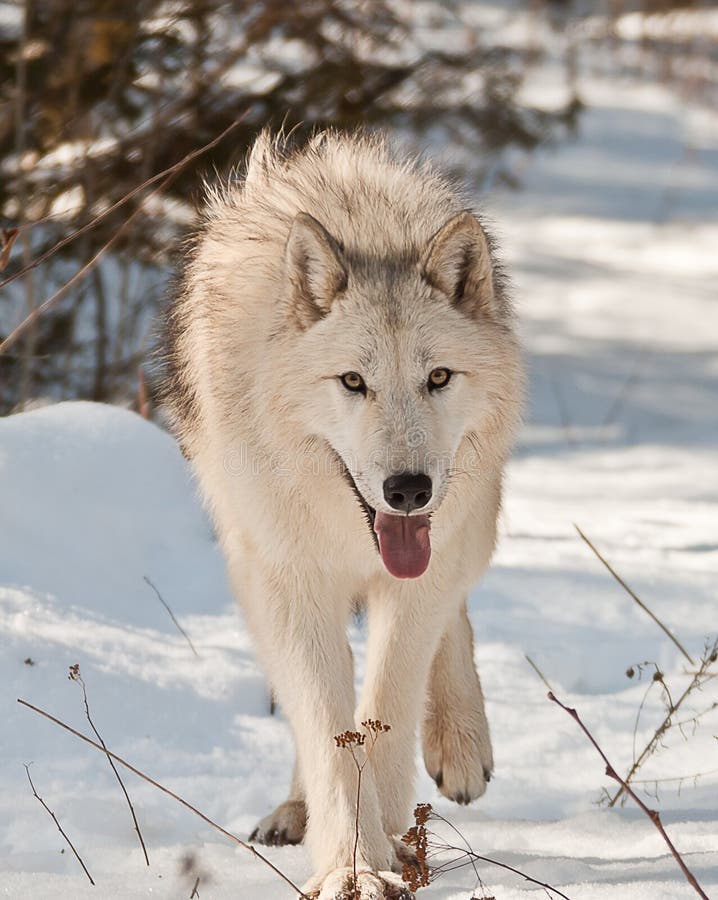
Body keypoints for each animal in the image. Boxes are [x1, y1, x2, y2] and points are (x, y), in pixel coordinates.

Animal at [162, 130, 524, 896]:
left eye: (438, 377)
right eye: (353, 382)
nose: (408, 490)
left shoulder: (421, 573)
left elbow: (385, 705)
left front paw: (390, 835)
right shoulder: (287, 580)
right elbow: (328, 726)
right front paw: (352, 862)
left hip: (468, 519)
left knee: (453, 612)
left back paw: (460, 746)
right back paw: (296, 812)